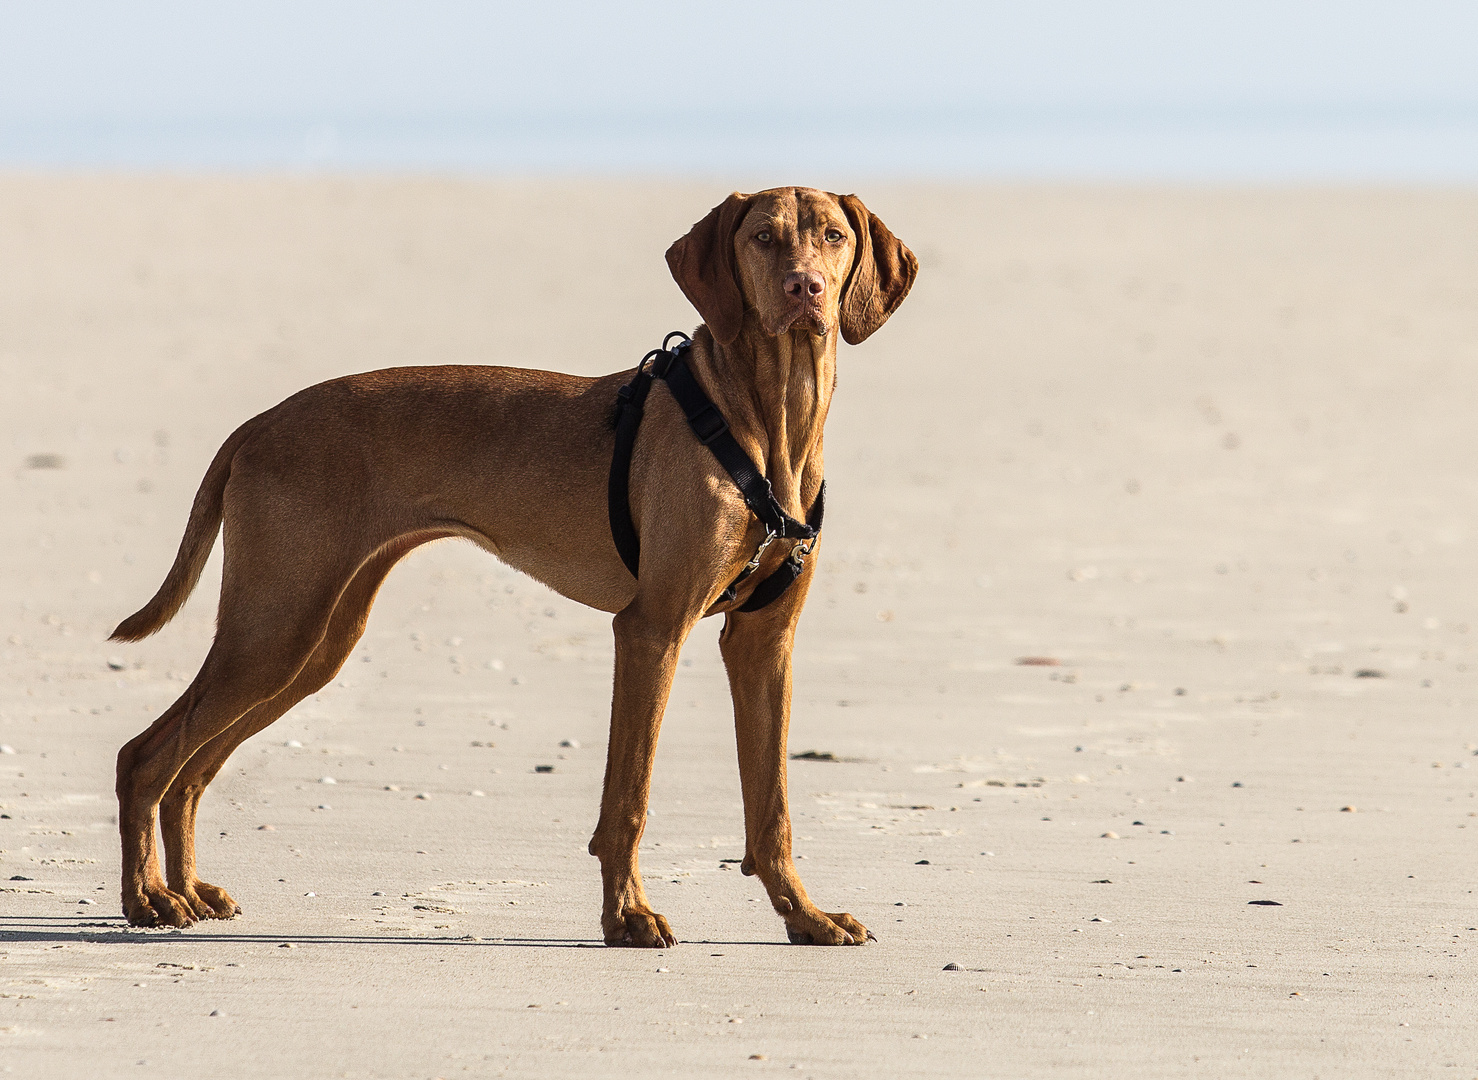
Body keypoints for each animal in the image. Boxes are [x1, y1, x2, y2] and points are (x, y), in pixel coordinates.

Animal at [115, 186, 916, 945]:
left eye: (833, 237)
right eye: (763, 238)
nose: (806, 288)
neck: (765, 418)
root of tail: (258, 424)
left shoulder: (763, 643)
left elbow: (772, 806)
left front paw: (805, 917)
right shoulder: (651, 629)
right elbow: (629, 800)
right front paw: (627, 917)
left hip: (314, 641)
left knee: (191, 769)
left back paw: (188, 889)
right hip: (276, 626)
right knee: (144, 756)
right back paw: (148, 898)